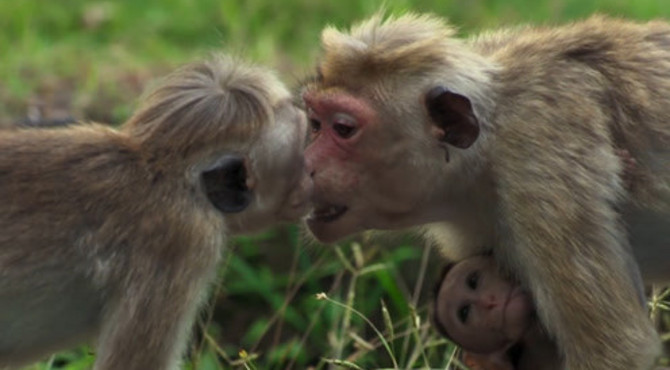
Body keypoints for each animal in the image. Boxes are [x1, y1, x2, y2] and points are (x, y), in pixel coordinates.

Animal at [304, 11, 670, 370]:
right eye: (315, 123)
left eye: (343, 128)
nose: (304, 163)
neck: (482, 156)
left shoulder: (539, 163)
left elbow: (618, 349)